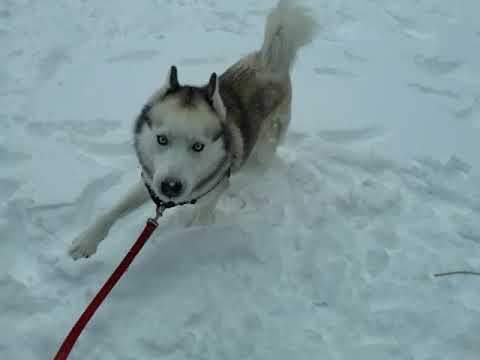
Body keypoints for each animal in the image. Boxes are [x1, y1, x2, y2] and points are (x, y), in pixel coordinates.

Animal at [67, 0, 316, 258]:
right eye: (162, 139)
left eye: (198, 146)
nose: (171, 187)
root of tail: (268, 60)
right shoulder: (151, 181)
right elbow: (115, 209)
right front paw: (87, 240)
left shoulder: (215, 190)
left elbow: (201, 221)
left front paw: (191, 240)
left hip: (267, 142)